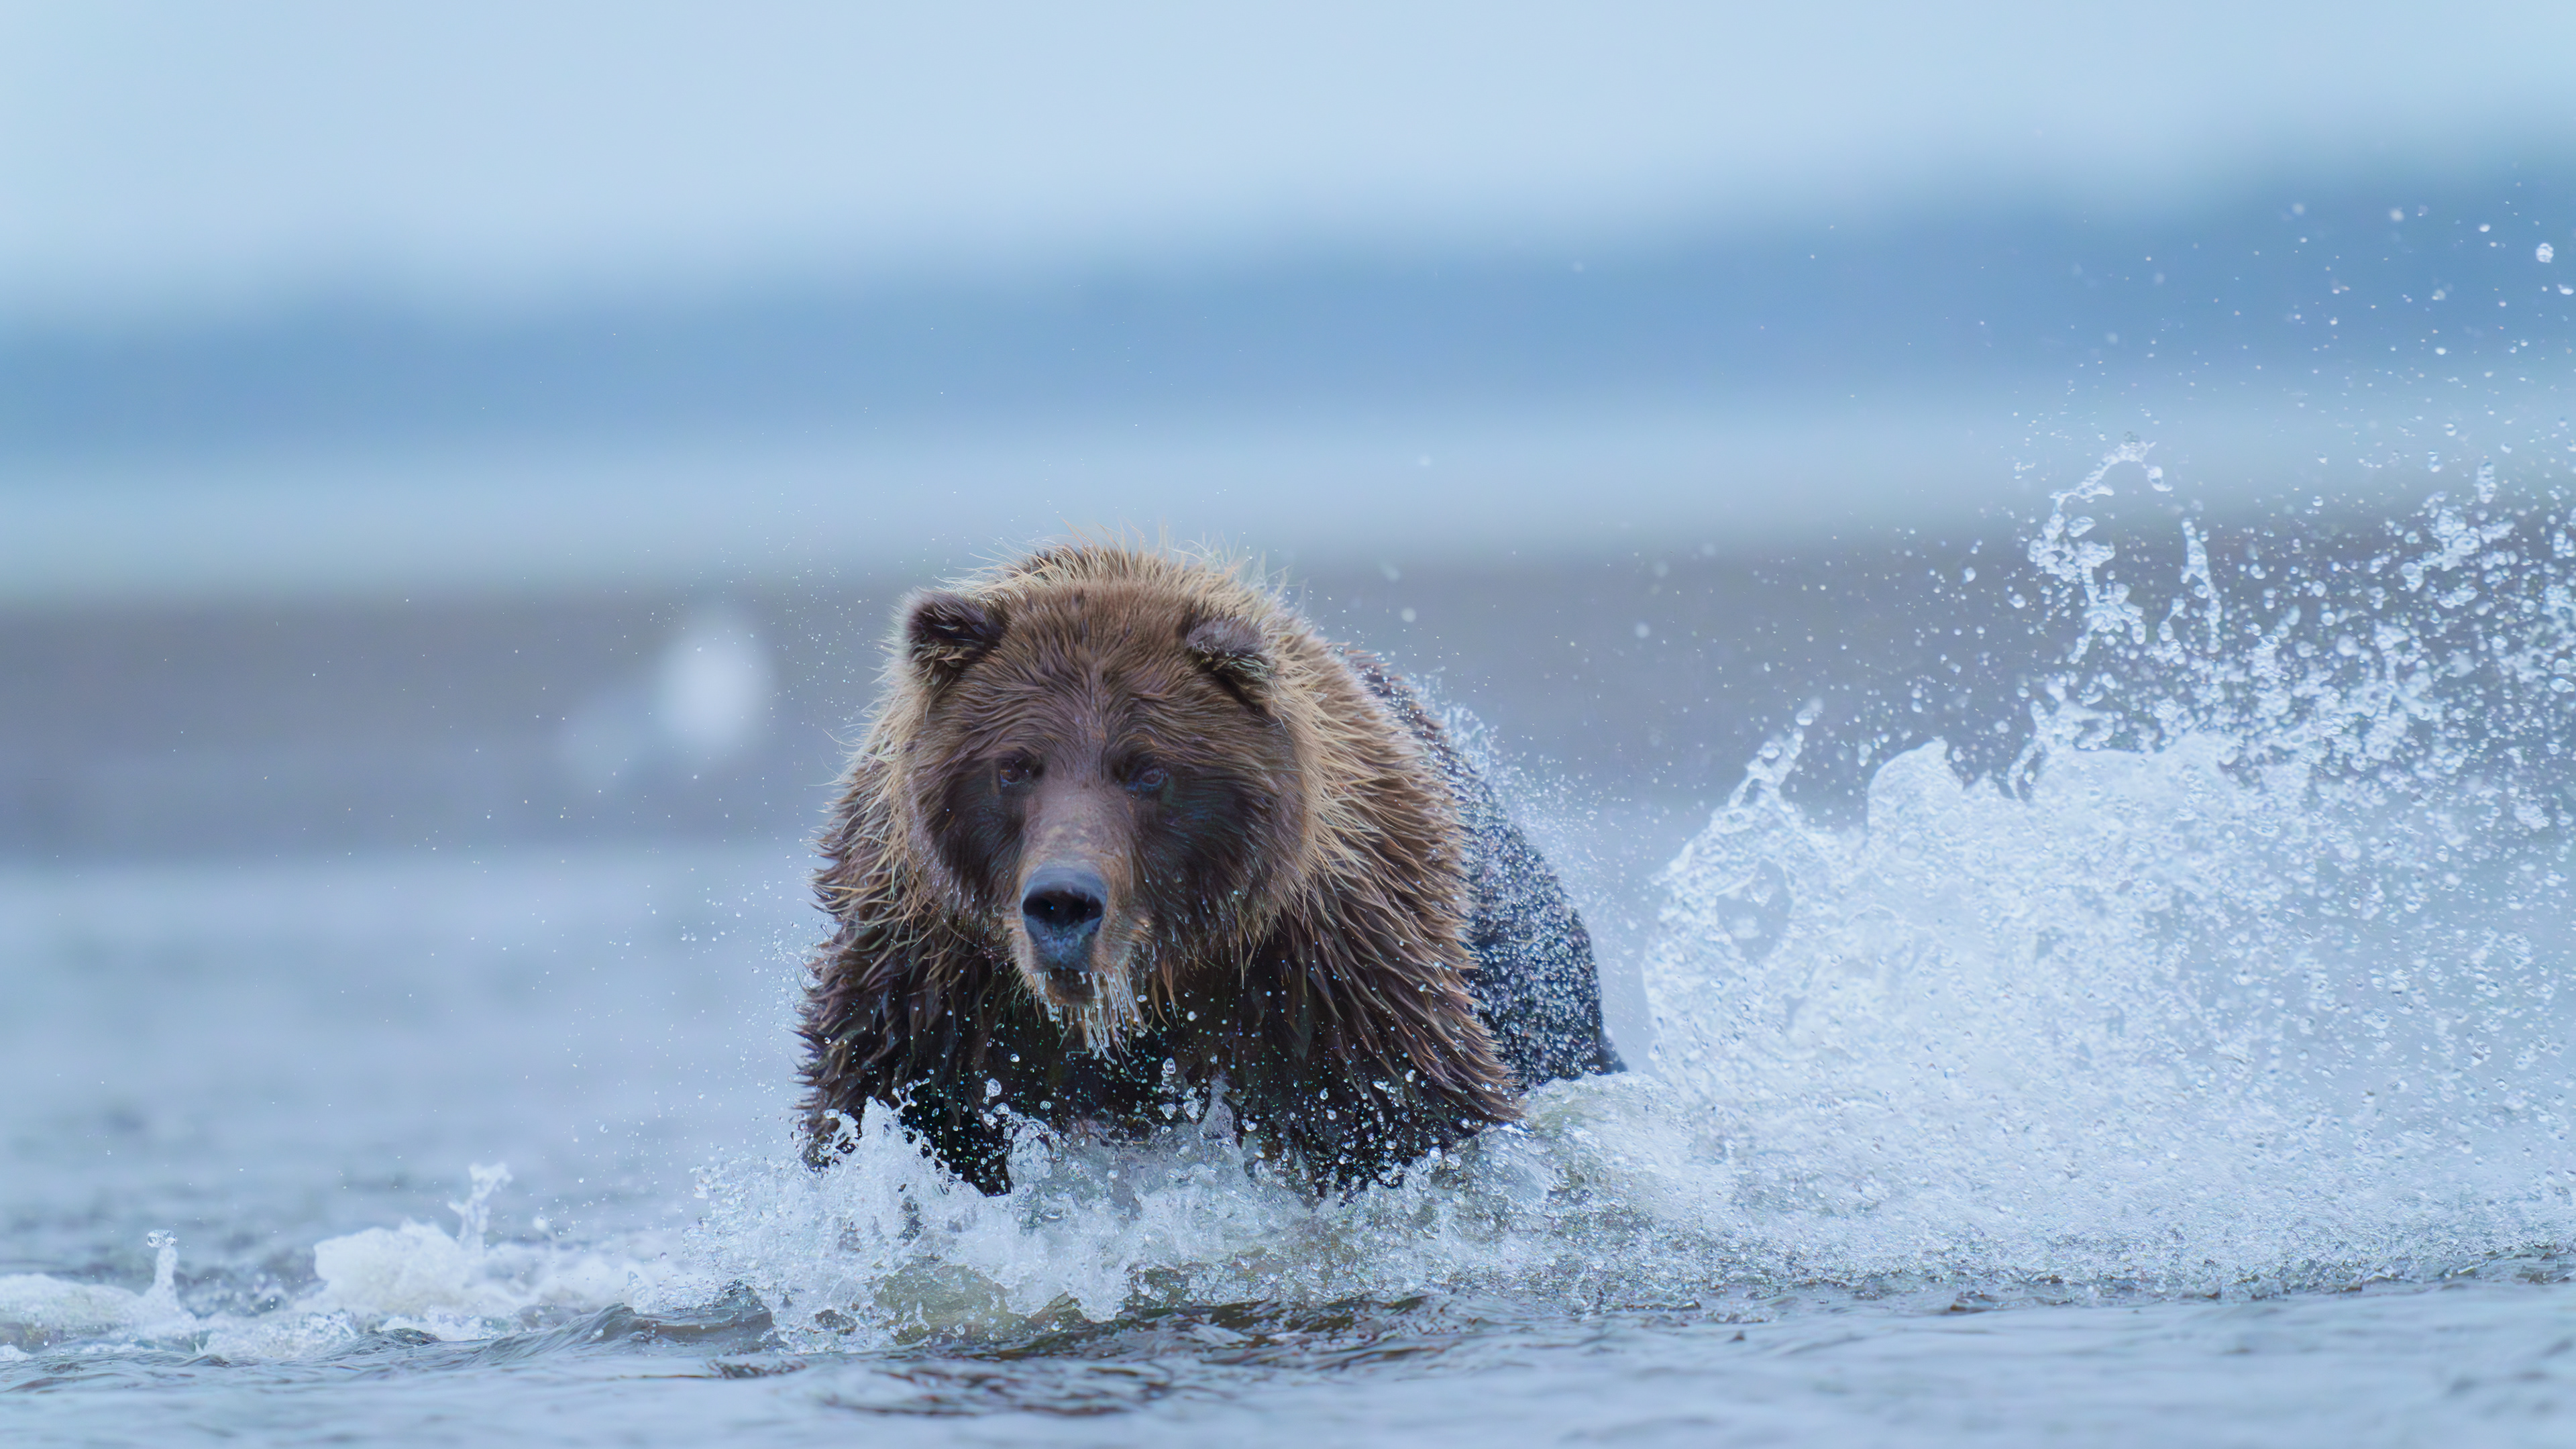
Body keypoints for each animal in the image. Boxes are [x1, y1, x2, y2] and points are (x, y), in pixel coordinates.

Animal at [796, 544, 1620, 1194]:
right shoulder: (929, 990)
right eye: (1015, 766)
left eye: (1146, 770)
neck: (1146, 991)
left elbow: (1409, 1117)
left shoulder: (1324, 980)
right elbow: (886, 1114)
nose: (1063, 902)